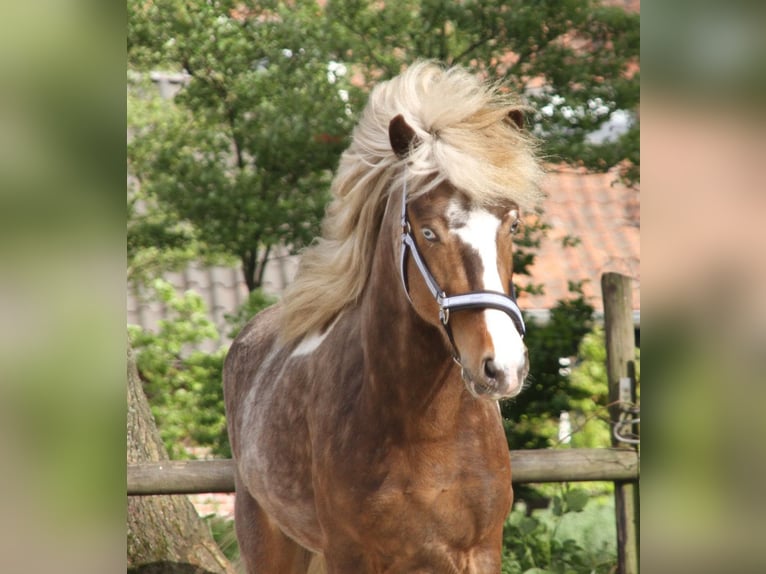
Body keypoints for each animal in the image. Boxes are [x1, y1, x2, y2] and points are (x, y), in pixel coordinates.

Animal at [223, 61, 543, 574]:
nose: (503, 368)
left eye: (511, 224)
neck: (426, 428)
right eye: (428, 231)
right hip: (269, 542)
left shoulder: (480, 552)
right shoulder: (350, 554)